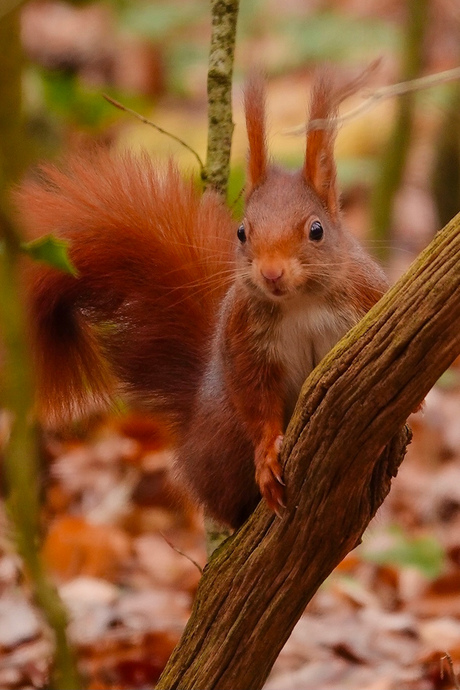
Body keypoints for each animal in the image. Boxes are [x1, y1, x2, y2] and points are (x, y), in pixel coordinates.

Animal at [15, 71, 388, 528]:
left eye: (316, 230)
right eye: (242, 232)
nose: (271, 273)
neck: (300, 302)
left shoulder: (369, 297)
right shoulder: (243, 340)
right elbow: (255, 399)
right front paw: (267, 456)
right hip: (224, 437)